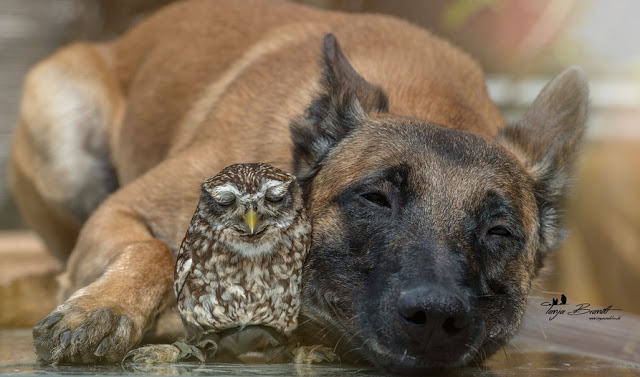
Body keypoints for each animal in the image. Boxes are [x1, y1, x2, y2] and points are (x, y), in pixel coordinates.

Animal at [10, 0, 592, 370]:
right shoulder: (120, 212)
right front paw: (102, 309)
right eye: (375, 199)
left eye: (500, 234)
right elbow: (154, 249)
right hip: (57, 118)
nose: (435, 316)